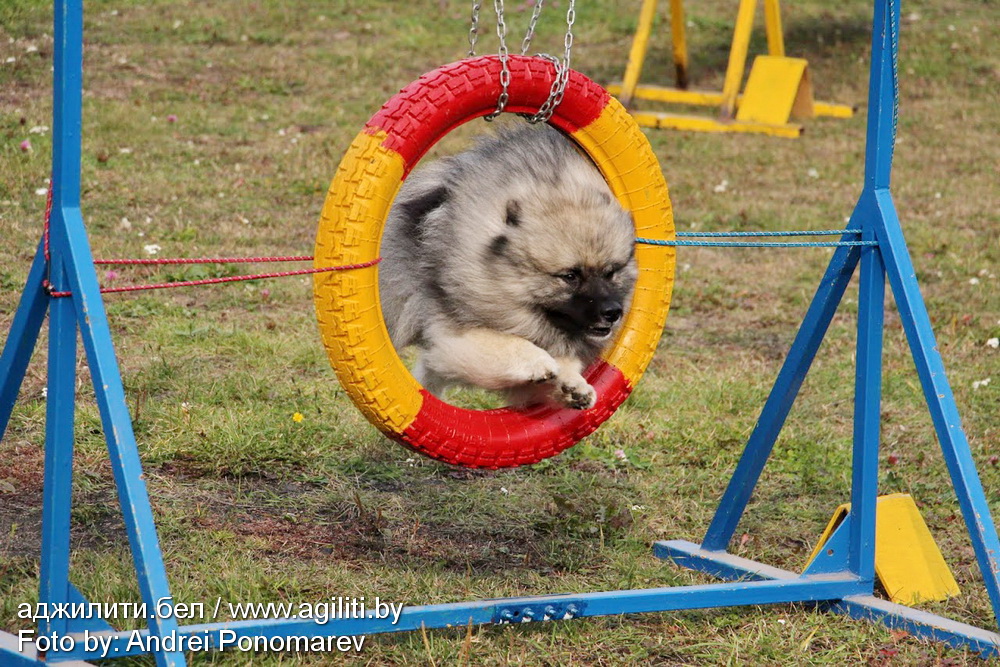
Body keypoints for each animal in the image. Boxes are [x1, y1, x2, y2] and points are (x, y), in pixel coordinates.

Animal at [378, 124, 637, 410]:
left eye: (611, 272)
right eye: (570, 276)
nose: (613, 312)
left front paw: (574, 385)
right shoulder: (452, 334)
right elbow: (509, 343)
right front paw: (540, 361)